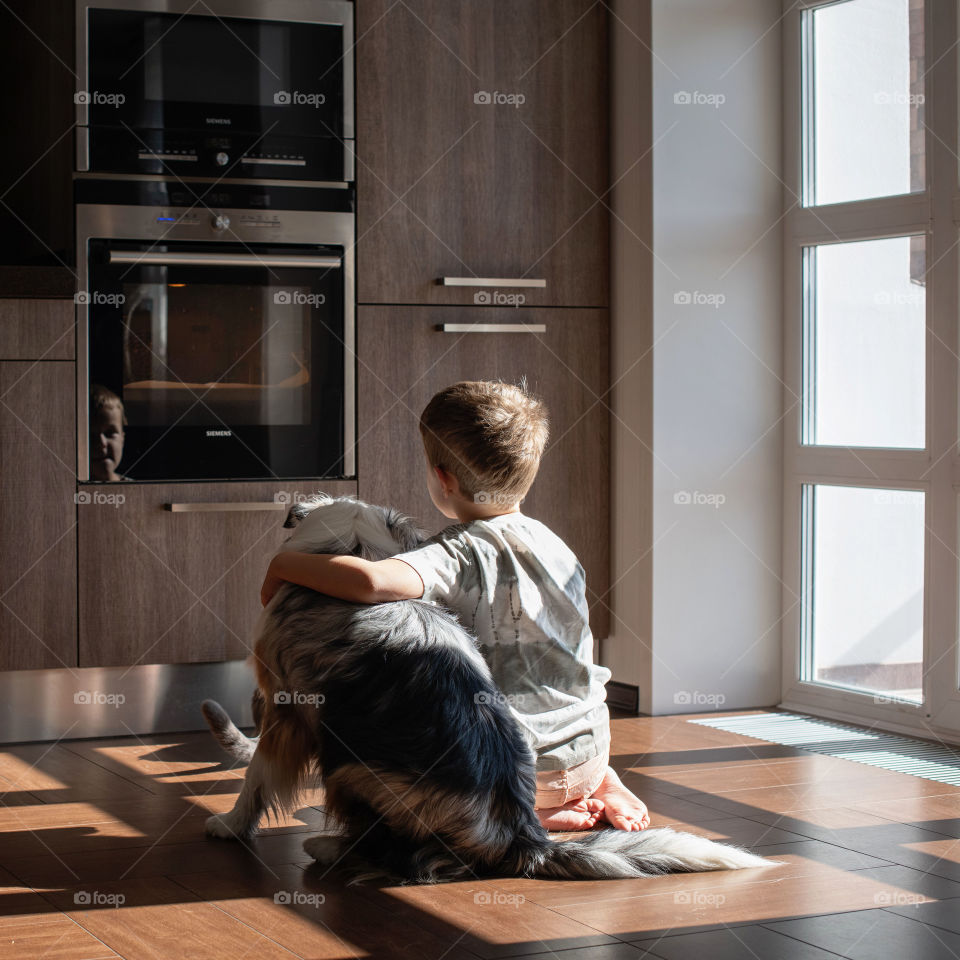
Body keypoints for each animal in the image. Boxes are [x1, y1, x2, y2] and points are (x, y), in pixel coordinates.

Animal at [204, 498, 780, 880]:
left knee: (402, 857)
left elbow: (256, 778)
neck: (352, 549)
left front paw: (229, 826)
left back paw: (326, 848)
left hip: (351, 767)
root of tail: (522, 838)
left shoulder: (286, 712)